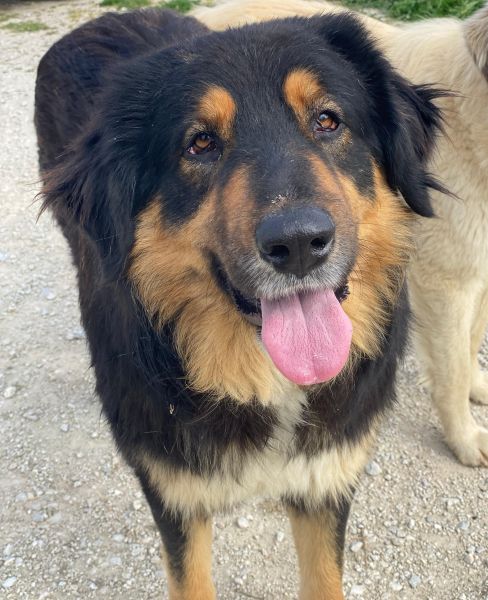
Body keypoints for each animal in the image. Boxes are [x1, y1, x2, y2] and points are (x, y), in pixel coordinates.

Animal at [35, 8, 444, 598]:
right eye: (200, 143)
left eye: (328, 120)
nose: (298, 243)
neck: (260, 376)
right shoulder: (175, 495)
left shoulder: (326, 478)